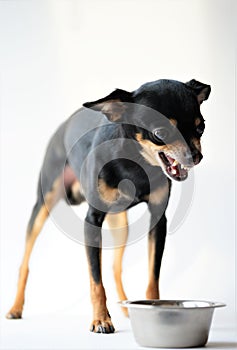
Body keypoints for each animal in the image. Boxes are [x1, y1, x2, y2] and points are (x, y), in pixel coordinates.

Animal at [6, 78, 211, 334]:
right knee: (25, 263)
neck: (135, 161)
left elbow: (152, 277)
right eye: (160, 133)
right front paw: (101, 319)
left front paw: (154, 311)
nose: (196, 157)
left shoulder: (157, 221)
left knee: (115, 266)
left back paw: (126, 307)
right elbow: (96, 280)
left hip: (120, 223)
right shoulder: (92, 221)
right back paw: (16, 308)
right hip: (43, 205)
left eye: (201, 127)